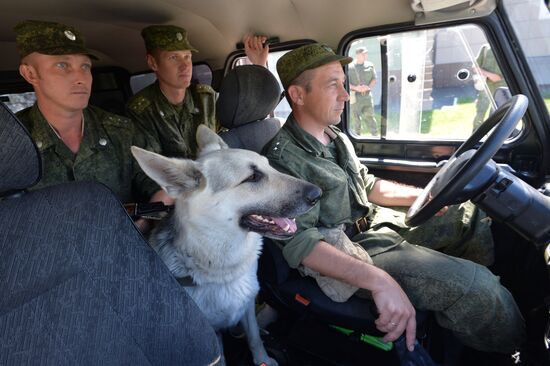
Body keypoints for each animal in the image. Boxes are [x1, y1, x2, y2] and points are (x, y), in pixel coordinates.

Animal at [133, 125, 324, 364]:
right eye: (253, 177)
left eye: (269, 165)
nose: (319, 194)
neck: (222, 266)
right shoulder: (211, 335)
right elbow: (222, 356)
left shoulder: (247, 305)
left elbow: (254, 337)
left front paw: (263, 359)